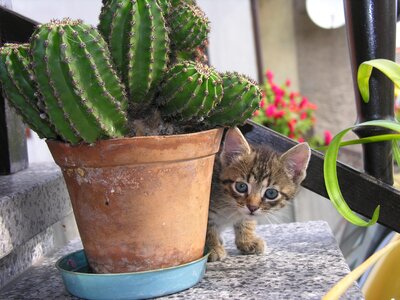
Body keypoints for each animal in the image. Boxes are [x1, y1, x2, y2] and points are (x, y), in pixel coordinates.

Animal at [208, 126, 310, 260]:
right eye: (241, 187)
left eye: (271, 193)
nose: (252, 207)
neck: (231, 207)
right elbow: (206, 227)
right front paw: (212, 247)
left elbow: (247, 220)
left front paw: (247, 240)